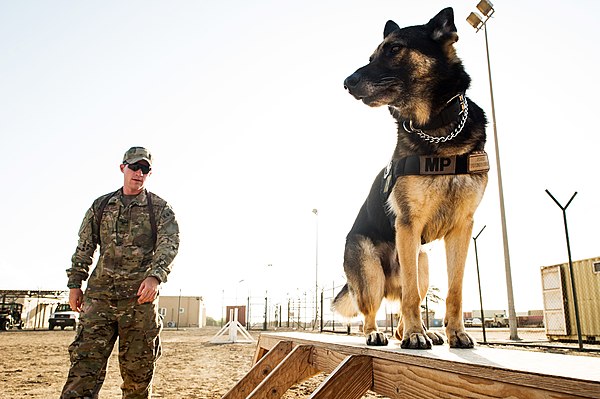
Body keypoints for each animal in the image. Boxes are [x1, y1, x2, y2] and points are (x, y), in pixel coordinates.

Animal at [336, 7, 490, 350]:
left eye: (394, 49)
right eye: (371, 56)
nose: (346, 82)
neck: (438, 130)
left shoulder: (462, 227)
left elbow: (455, 290)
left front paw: (456, 332)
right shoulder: (408, 224)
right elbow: (410, 298)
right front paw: (416, 335)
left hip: (422, 263)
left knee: (412, 296)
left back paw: (416, 331)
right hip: (371, 271)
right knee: (374, 311)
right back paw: (380, 333)